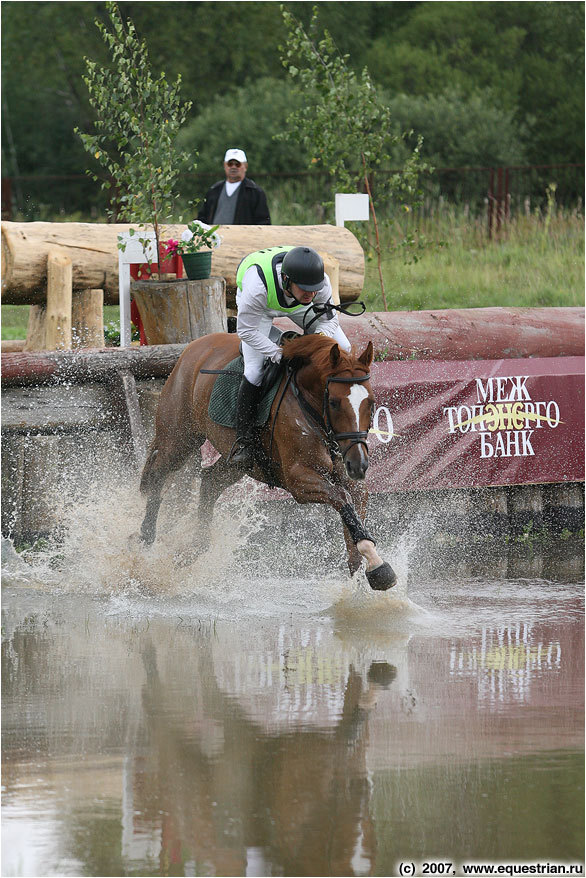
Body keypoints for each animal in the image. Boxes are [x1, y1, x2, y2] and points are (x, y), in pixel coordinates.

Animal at [140, 330, 396, 592]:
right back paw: (145, 538)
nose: (359, 464)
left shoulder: (350, 479)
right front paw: (377, 565)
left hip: (237, 461)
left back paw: (194, 548)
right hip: (180, 437)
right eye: (334, 402)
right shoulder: (298, 481)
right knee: (158, 475)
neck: (311, 410)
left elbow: (353, 514)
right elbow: (342, 500)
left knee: (210, 482)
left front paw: (366, 572)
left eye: (371, 402)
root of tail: (194, 346)